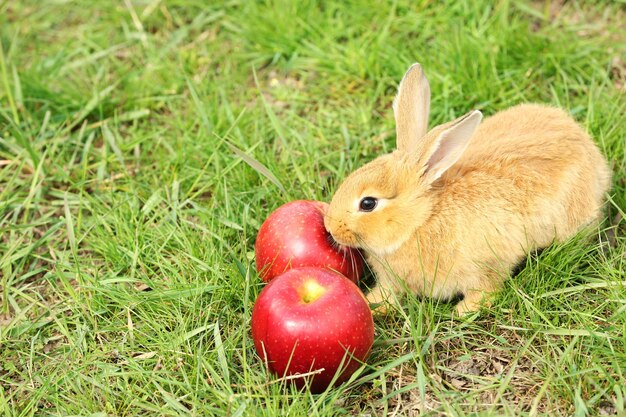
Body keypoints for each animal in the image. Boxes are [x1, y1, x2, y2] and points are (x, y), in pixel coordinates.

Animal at [322, 63, 608, 314]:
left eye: (368, 203)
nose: (330, 227)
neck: (421, 221)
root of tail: (588, 145)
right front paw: (373, 303)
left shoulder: (487, 265)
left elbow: (486, 289)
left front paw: (463, 311)